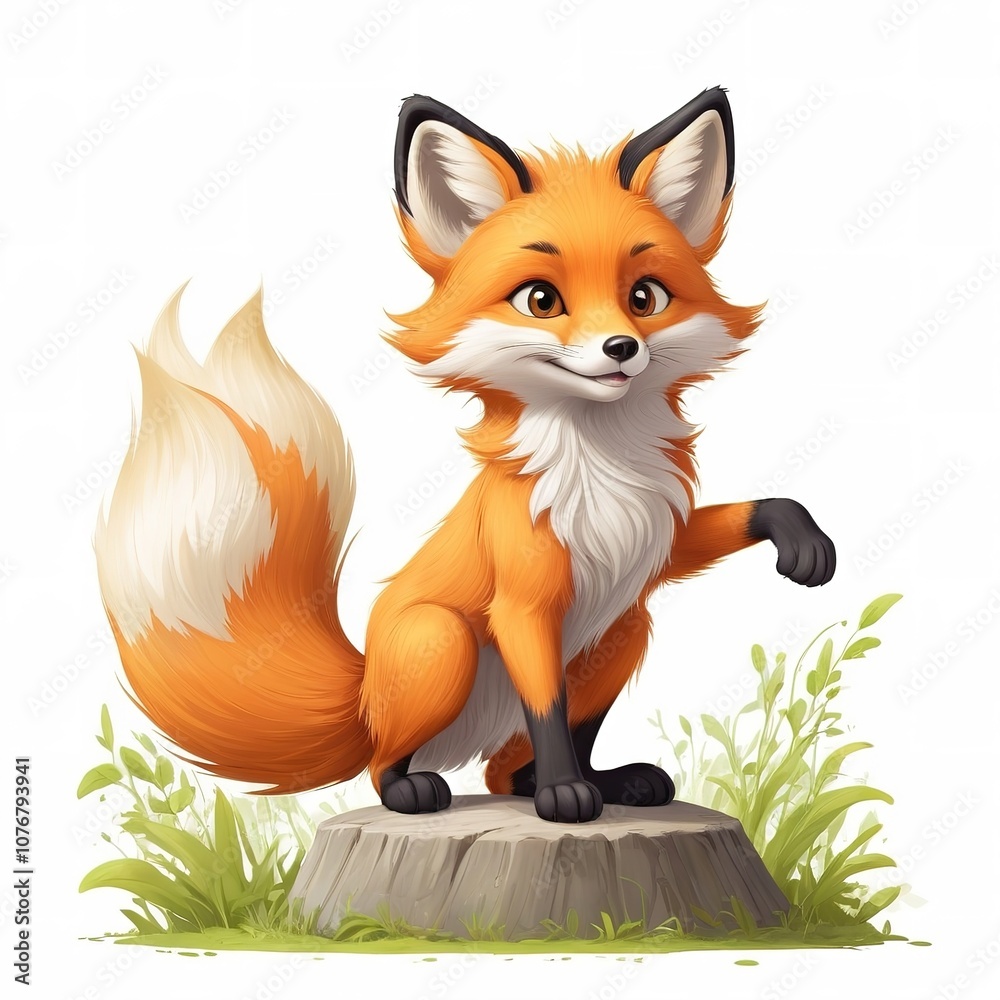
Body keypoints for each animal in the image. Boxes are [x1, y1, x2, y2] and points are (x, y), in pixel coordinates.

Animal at [95, 87, 835, 824]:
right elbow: (547, 706)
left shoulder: (651, 541)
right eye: (541, 299)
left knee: (504, 768)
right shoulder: (524, 603)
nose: (621, 348)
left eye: (644, 296)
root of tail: (364, 695)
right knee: (385, 763)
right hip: (440, 641)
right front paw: (564, 795)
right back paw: (421, 789)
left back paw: (607, 781)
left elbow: (746, 514)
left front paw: (803, 541)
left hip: (621, 630)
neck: (600, 468)